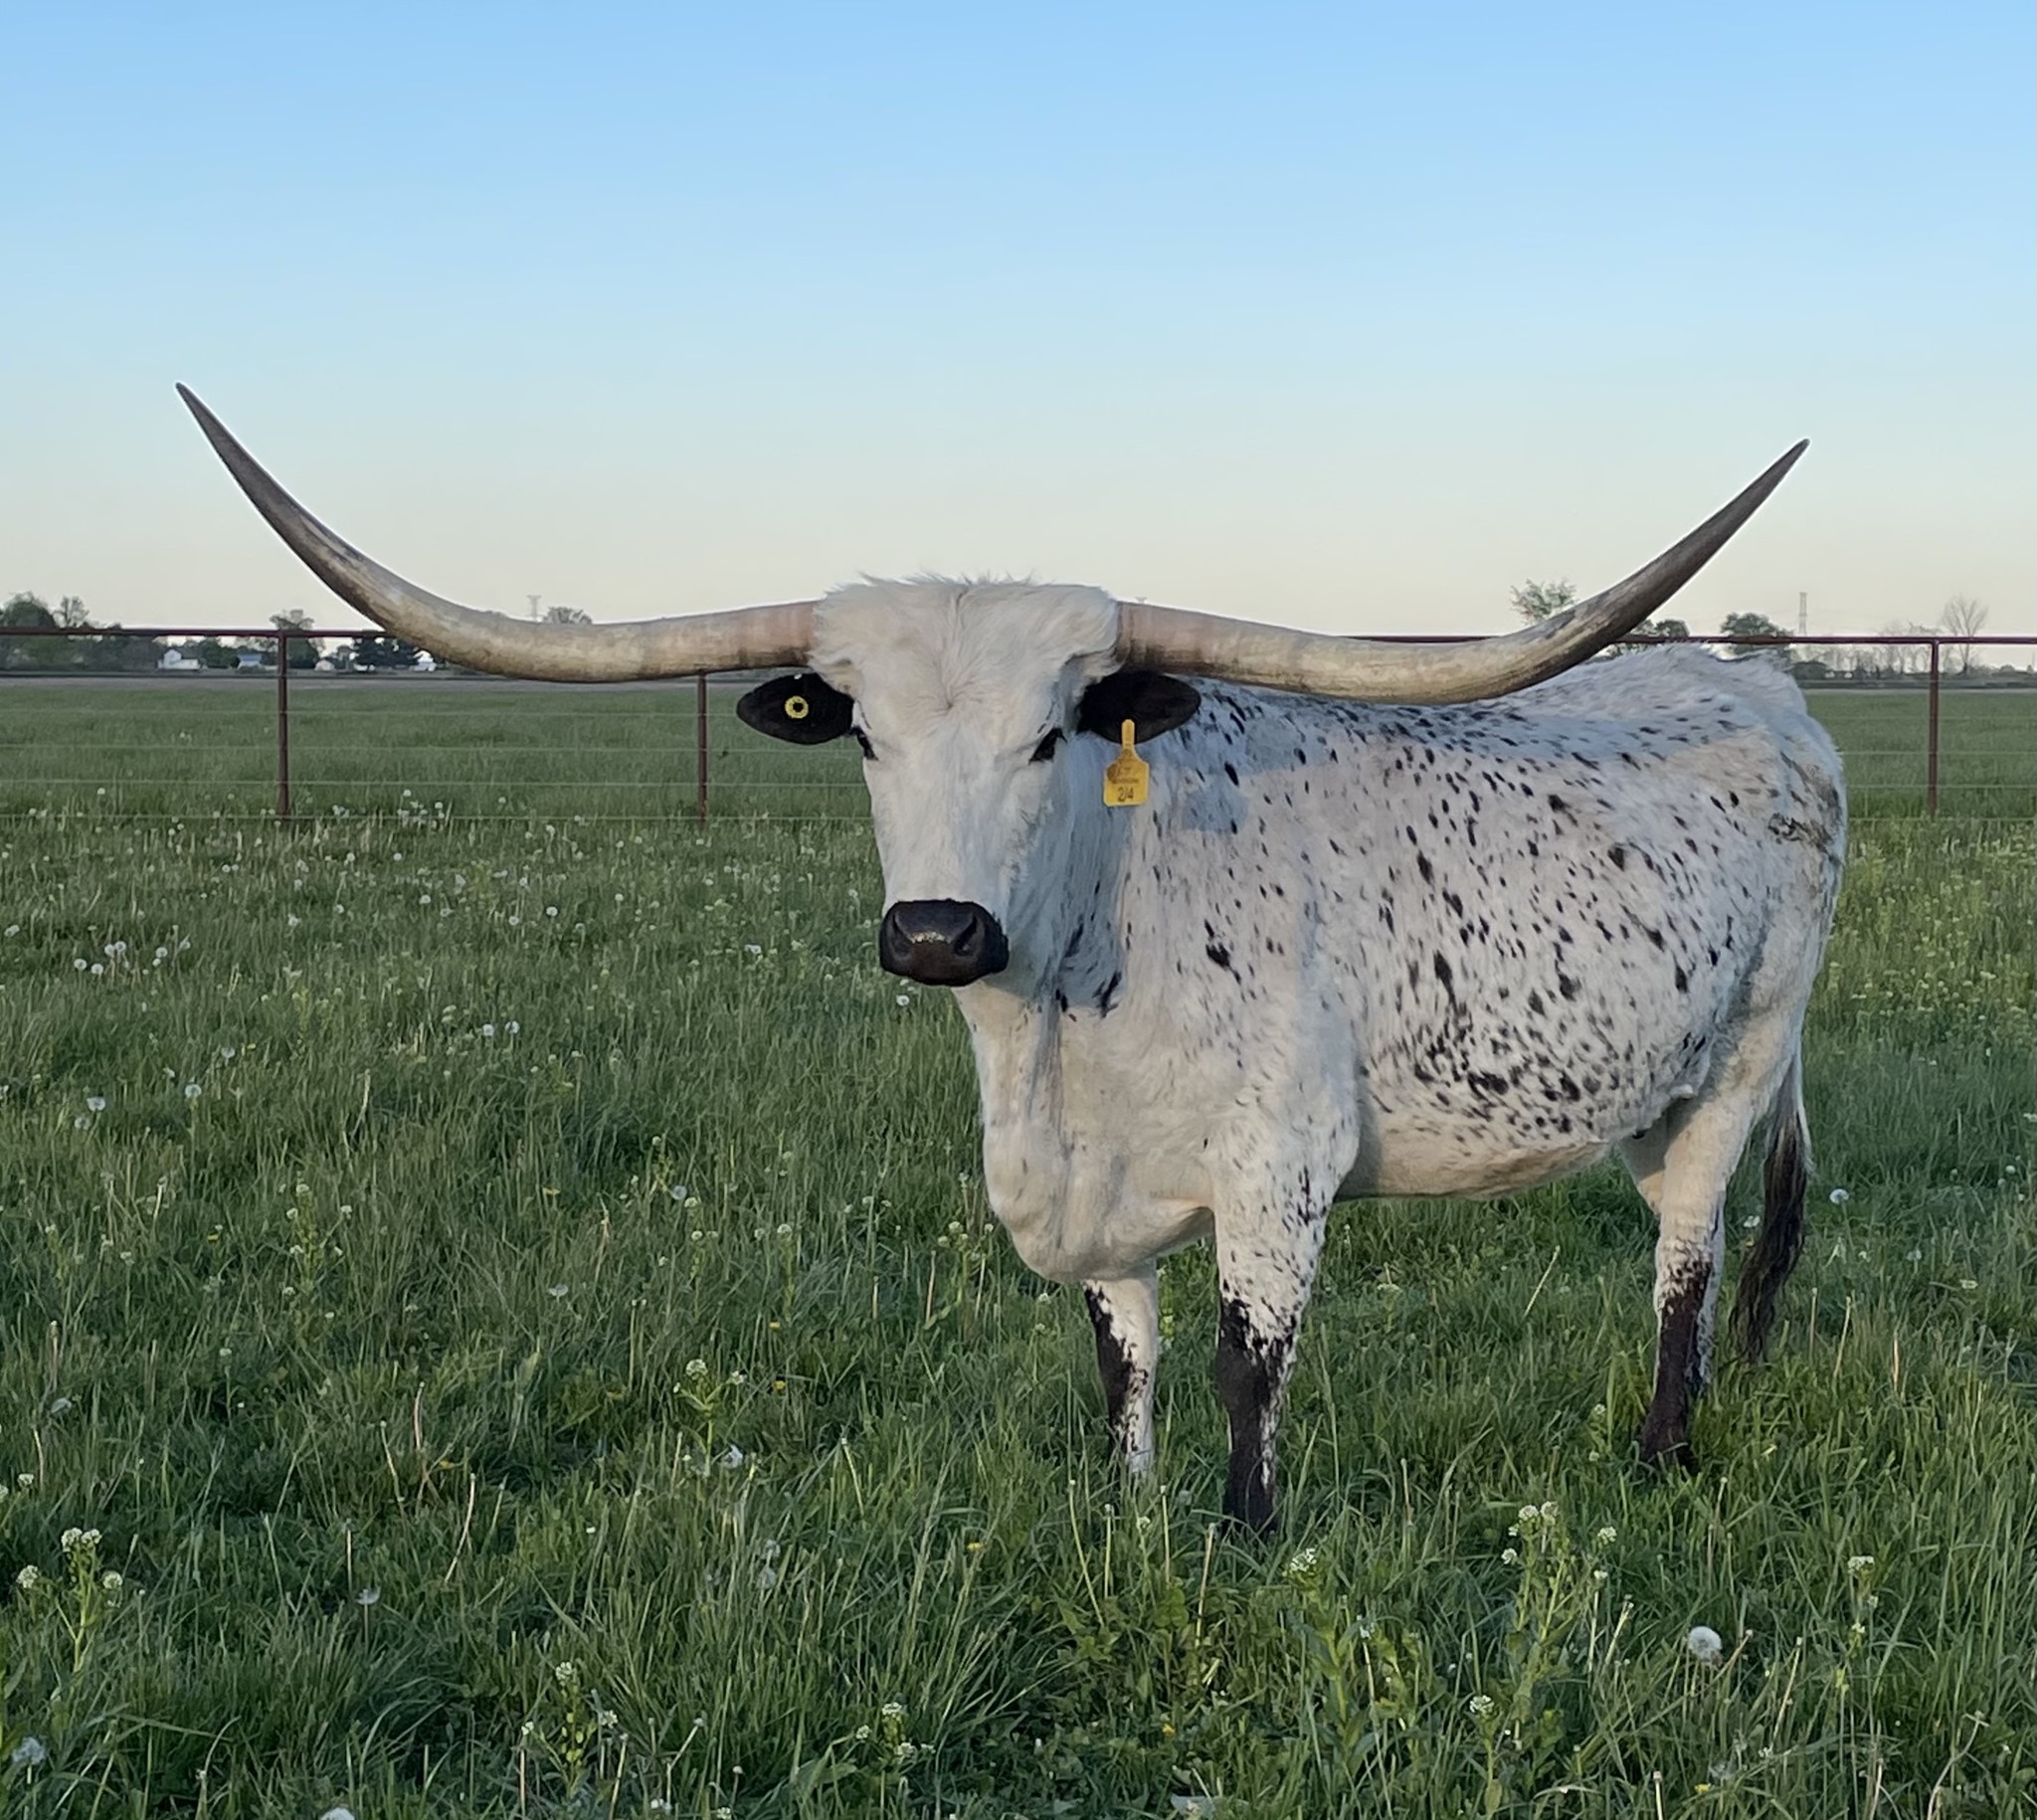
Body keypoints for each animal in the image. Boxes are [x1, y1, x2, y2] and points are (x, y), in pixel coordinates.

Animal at [179, 387, 1845, 1530]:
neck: (1072, 998)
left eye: (1054, 733)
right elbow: (1124, 1368)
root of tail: (1765, 695)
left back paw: (1661, 1456)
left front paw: (1242, 1545)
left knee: (1687, 1263)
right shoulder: (1092, 1199)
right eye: (860, 732)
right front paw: (1125, 1522)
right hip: (1647, 1093)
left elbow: (1247, 1374)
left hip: (1744, 1061)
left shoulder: (1279, 1174)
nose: (936, 931)